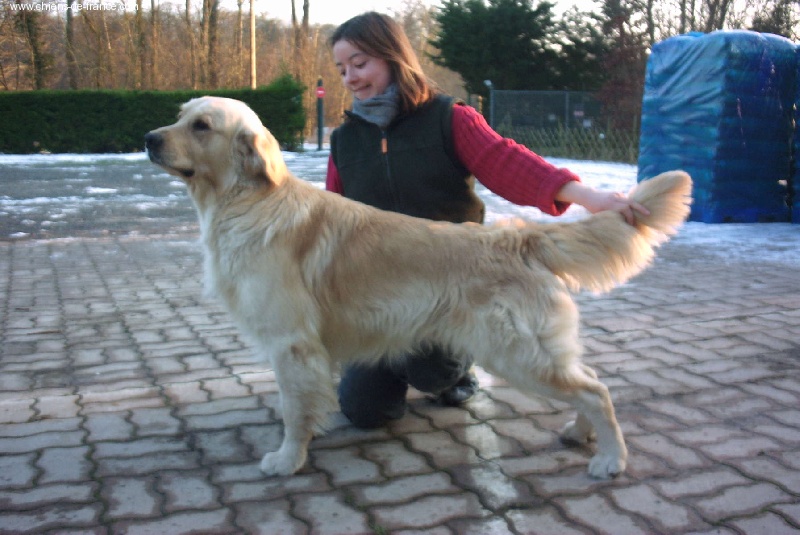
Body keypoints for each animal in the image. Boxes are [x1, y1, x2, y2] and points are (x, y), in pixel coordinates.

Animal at [145, 97, 692, 482]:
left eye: (201, 126)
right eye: (179, 116)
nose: (148, 137)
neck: (248, 202)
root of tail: (518, 236)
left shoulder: (291, 344)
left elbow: (293, 411)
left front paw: (287, 458)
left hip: (516, 353)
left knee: (597, 391)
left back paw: (611, 459)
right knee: (590, 379)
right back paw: (580, 434)